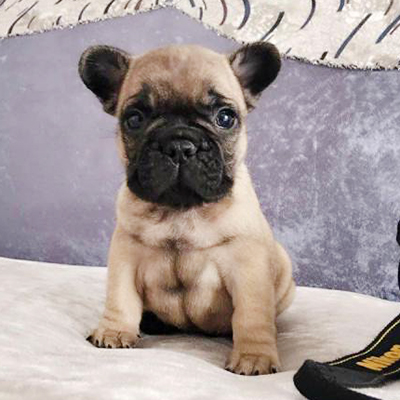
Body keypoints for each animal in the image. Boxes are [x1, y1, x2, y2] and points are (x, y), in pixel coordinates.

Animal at [79, 42, 295, 376]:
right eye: (134, 119)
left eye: (225, 118)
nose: (179, 144)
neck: (181, 211)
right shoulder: (125, 254)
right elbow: (120, 296)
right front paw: (114, 331)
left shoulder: (248, 268)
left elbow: (251, 314)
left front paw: (254, 356)